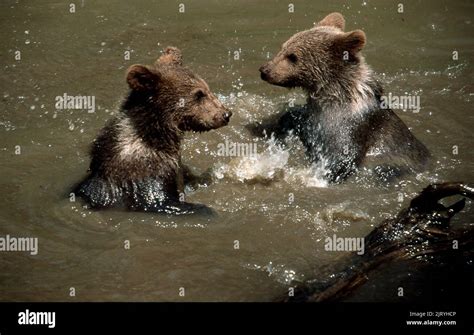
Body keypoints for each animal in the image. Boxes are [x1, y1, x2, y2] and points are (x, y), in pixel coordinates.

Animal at [72, 46, 233, 215]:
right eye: (199, 94)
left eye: (207, 88)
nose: (226, 114)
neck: (156, 135)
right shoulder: (145, 174)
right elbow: (161, 201)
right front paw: (207, 209)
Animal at [260, 12, 430, 184]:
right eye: (283, 47)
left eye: (293, 56)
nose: (264, 70)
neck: (333, 96)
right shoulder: (313, 117)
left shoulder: (350, 128)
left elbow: (341, 158)